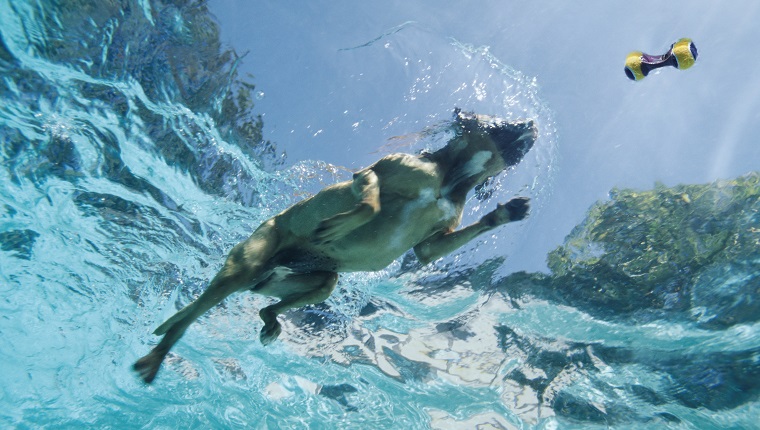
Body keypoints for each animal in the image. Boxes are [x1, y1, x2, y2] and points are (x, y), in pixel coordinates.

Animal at [132, 108, 536, 382]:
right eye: (503, 122)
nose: (532, 124)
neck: (451, 177)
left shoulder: (430, 247)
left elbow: (432, 246)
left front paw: (507, 213)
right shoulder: (373, 174)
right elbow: (371, 201)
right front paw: (343, 223)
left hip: (315, 282)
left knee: (277, 301)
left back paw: (270, 320)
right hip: (245, 264)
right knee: (189, 317)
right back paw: (158, 354)